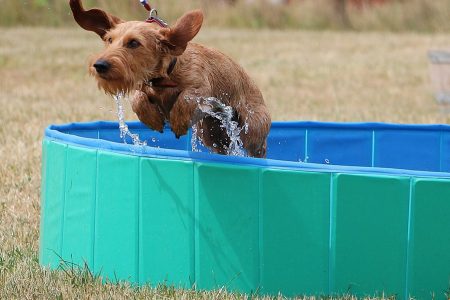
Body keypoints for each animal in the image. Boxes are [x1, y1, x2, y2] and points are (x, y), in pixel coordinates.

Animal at [70, 0, 270, 158]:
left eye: (134, 43)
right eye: (109, 40)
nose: (99, 65)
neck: (164, 79)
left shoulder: (201, 89)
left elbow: (186, 97)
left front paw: (178, 122)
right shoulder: (143, 86)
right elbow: (137, 97)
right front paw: (152, 118)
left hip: (252, 130)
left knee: (258, 150)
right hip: (211, 133)